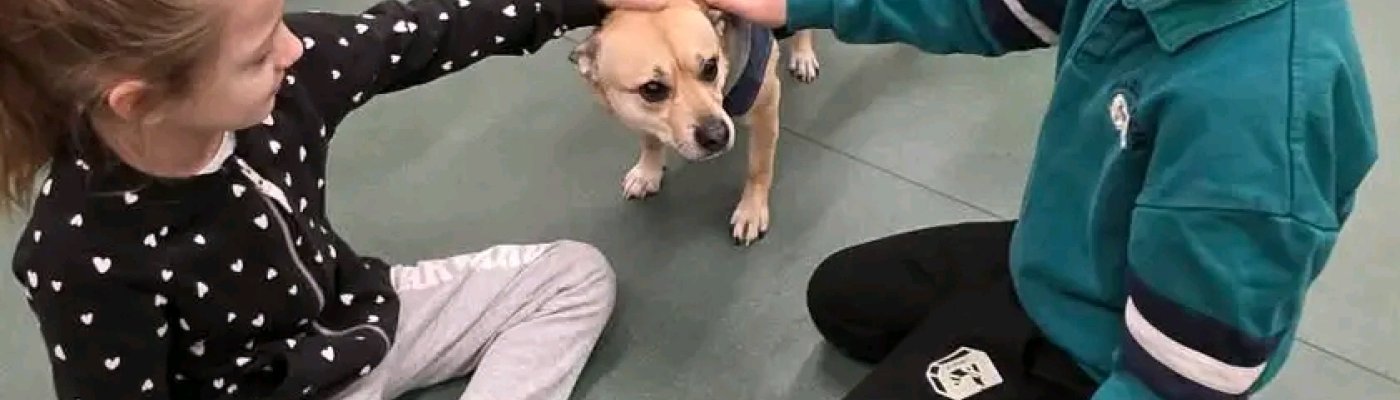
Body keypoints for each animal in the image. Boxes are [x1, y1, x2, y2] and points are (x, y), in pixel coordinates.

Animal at [568, 0, 820, 246]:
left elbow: (759, 168)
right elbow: (649, 140)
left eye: (710, 67)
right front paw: (648, 171)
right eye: (652, 89)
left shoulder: (765, 106)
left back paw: (803, 55)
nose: (717, 135)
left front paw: (752, 211)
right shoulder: (638, 115)